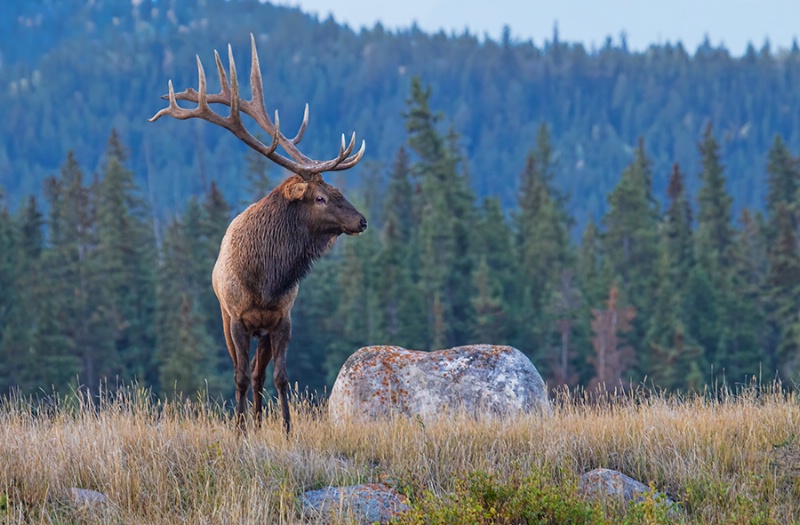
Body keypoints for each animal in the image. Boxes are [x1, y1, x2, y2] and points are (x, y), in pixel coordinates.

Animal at [148, 34, 368, 432]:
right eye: (321, 197)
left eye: (337, 190)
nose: (361, 221)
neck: (267, 280)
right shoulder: (236, 319)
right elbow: (237, 376)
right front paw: (237, 431)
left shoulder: (282, 320)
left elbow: (279, 377)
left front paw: (286, 429)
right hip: (226, 321)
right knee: (245, 372)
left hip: (263, 333)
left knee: (258, 375)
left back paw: (259, 420)